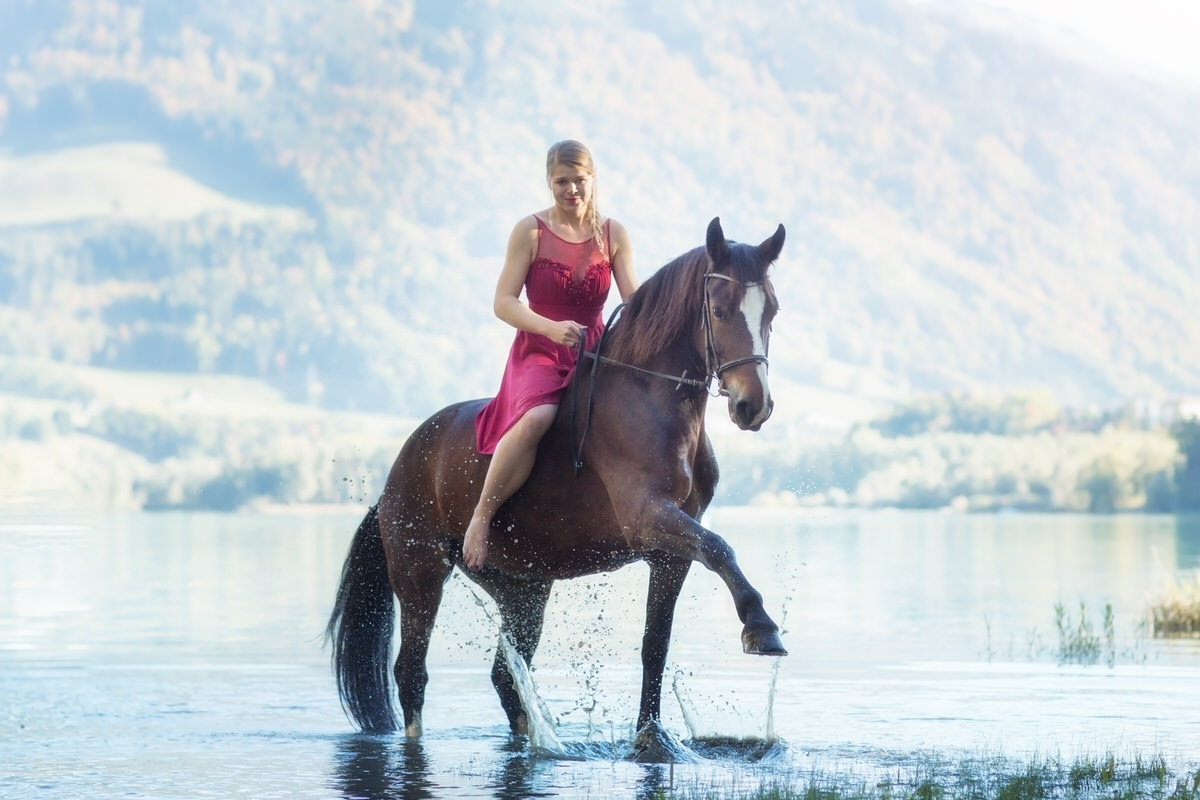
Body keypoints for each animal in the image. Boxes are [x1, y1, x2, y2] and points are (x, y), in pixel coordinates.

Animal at [326, 215, 787, 743]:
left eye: (772, 310)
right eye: (719, 310)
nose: (754, 406)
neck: (651, 397)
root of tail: (394, 476)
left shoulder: (669, 554)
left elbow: (656, 645)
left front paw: (651, 736)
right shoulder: (647, 518)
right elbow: (720, 547)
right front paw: (760, 626)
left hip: (523, 589)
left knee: (506, 677)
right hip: (419, 574)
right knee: (411, 673)